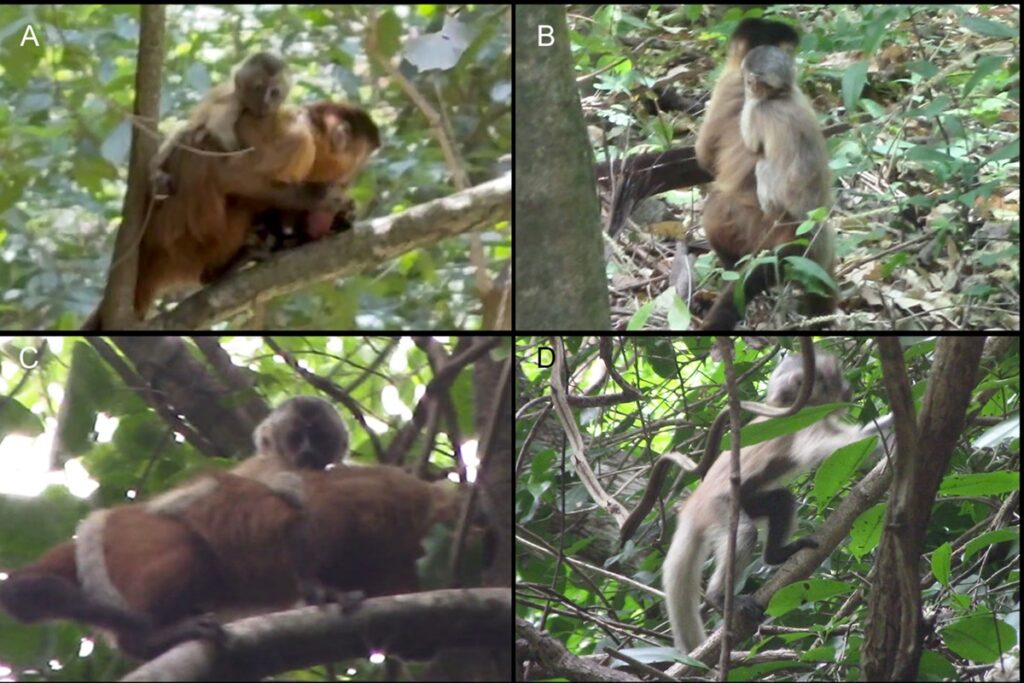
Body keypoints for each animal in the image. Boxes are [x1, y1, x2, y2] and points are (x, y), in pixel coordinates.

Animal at [150, 52, 292, 198]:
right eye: (258, 88)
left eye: (274, 92)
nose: (266, 102)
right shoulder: (233, 101)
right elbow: (218, 128)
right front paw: (242, 158)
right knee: (183, 129)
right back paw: (156, 171)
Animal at [662, 350, 893, 654]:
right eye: (832, 382)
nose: (847, 390)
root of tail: (689, 508)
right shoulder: (806, 422)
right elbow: (844, 447)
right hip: (716, 508)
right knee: (745, 532)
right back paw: (721, 597)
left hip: (745, 502)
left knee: (781, 499)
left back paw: (775, 555)